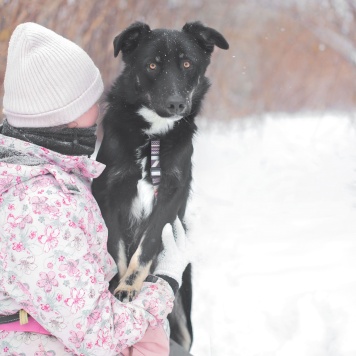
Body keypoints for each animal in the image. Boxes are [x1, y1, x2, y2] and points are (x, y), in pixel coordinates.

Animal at [92, 20, 228, 350]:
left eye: (187, 64)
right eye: (152, 65)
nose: (177, 103)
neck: (153, 136)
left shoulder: (171, 196)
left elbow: (147, 245)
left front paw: (129, 285)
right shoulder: (109, 192)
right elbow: (116, 246)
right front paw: (119, 286)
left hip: (183, 320)